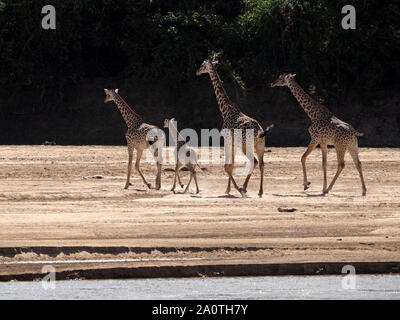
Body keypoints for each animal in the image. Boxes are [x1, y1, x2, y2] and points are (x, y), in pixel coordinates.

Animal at [196, 58, 274, 196]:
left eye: (202, 65)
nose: (197, 71)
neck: (225, 109)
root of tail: (260, 132)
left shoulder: (227, 140)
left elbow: (227, 166)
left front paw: (234, 189)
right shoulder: (232, 143)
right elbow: (231, 165)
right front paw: (228, 189)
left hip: (245, 146)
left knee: (254, 162)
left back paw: (244, 188)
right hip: (260, 146)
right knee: (261, 164)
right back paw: (259, 191)